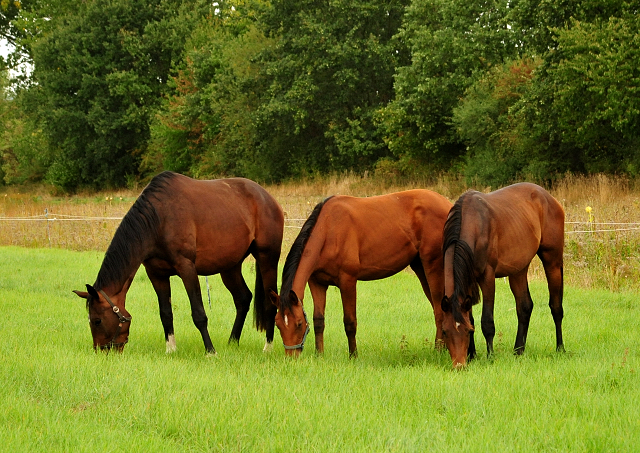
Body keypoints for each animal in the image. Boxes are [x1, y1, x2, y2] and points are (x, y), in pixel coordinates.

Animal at [72, 171, 282, 352]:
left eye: (97, 320)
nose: (102, 350)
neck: (159, 219)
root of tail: (268, 198)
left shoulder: (187, 268)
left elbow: (199, 313)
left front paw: (210, 351)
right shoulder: (156, 274)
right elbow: (165, 313)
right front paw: (171, 349)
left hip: (267, 259)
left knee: (271, 304)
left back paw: (267, 347)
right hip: (230, 267)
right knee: (243, 299)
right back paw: (232, 343)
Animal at [268, 190, 452, 356]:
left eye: (299, 323)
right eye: (277, 324)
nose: (291, 357)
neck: (329, 230)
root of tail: (447, 204)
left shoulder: (347, 281)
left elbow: (350, 322)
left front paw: (353, 355)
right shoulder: (317, 283)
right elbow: (318, 320)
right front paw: (319, 354)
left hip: (433, 266)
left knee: (438, 310)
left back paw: (438, 350)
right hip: (420, 268)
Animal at [440, 182, 564, 366]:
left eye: (466, 331)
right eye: (445, 331)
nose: (459, 365)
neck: (474, 224)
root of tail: (548, 197)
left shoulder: (487, 278)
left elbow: (487, 322)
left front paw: (490, 357)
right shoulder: (468, 281)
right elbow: (471, 317)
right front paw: (472, 355)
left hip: (553, 262)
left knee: (556, 307)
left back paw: (560, 348)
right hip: (518, 270)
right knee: (524, 307)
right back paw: (518, 351)